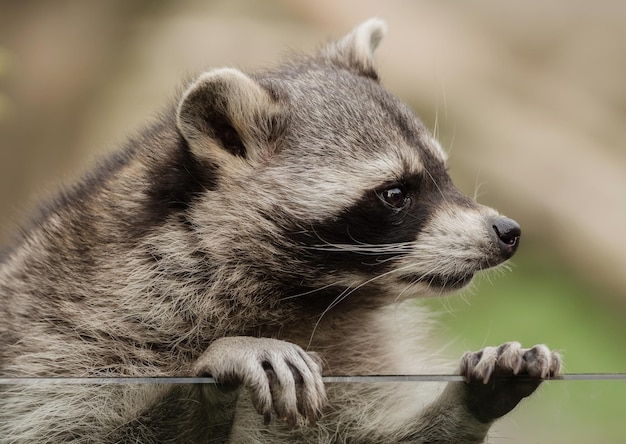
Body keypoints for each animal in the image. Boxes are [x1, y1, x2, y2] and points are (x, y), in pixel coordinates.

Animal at [0, 20, 556, 444]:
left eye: (445, 175)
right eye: (396, 193)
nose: (508, 231)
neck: (312, 294)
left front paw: (472, 397)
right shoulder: (71, 344)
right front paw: (218, 363)